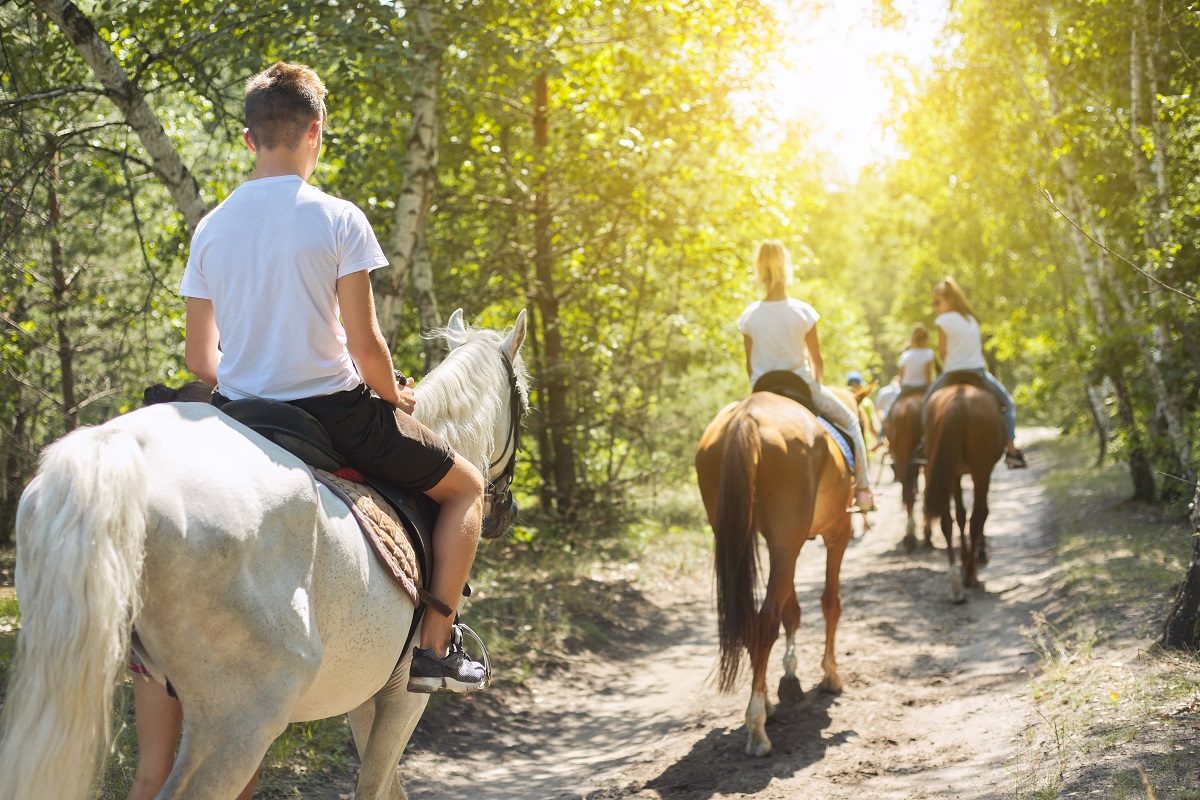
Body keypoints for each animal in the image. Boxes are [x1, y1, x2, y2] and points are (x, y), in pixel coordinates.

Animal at [0, 309, 528, 800]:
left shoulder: (367, 695)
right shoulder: (403, 696)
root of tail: (120, 450)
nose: (507, 511)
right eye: (523, 401)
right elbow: (375, 786)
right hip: (241, 720)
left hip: (159, 691)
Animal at [695, 390, 852, 757]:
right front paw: (830, 675)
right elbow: (830, 602)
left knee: (754, 621)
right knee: (765, 620)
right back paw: (757, 729)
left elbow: (791, 609)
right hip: (787, 540)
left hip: (743, 536)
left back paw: (764, 706)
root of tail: (746, 419)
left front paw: (789, 680)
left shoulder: (783, 545)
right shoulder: (837, 533)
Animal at [922, 381, 1004, 603]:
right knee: (976, 519)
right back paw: (970, 575)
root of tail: (958, 401)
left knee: (946, 521)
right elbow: (981, 514)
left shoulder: (955, 474)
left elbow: (959, 515)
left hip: (947, 470)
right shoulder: (982, 473)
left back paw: (956, 580)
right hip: (980, 471)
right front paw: (975, 556)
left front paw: (965, 557)